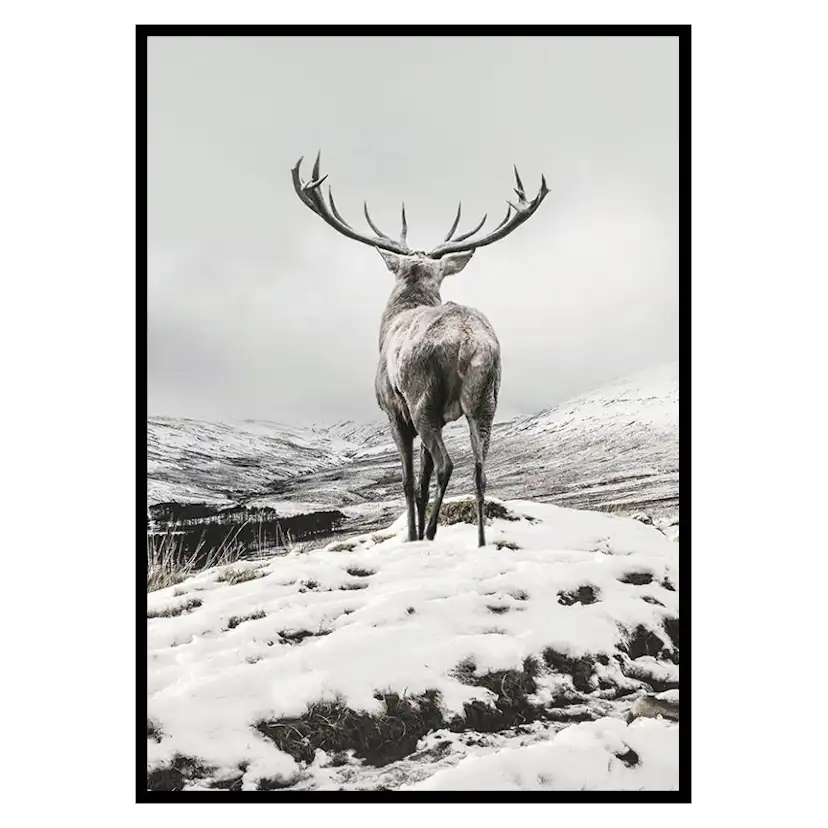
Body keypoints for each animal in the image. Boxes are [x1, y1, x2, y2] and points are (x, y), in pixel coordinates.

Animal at [291, 152, 549, 547]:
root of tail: (467, 340)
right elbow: (423, 482)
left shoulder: (394, 411)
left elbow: (410, 481)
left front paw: (411, 536)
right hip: (486, 398)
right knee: (480, 470)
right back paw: (479, 542)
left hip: (422, 397)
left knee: (447, 464)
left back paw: (428, 534)